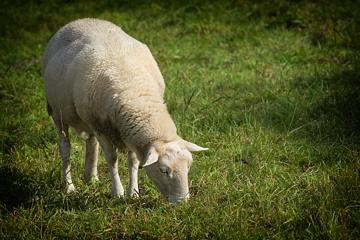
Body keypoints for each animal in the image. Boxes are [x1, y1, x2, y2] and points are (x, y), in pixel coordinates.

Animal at [42, 17, 207, 203]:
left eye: (189, 166)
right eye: (163, 170)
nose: (182, 201)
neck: (136, 93)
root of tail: (81, 20)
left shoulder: (128, 132)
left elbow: (133, 161)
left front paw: (133, 192)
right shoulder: (102, 128)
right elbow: (112, 159)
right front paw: (118, 192)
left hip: (87, 119)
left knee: (91, 143)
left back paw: (91, 177)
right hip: (57, 112)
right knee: (65, 148)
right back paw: (69, 187)